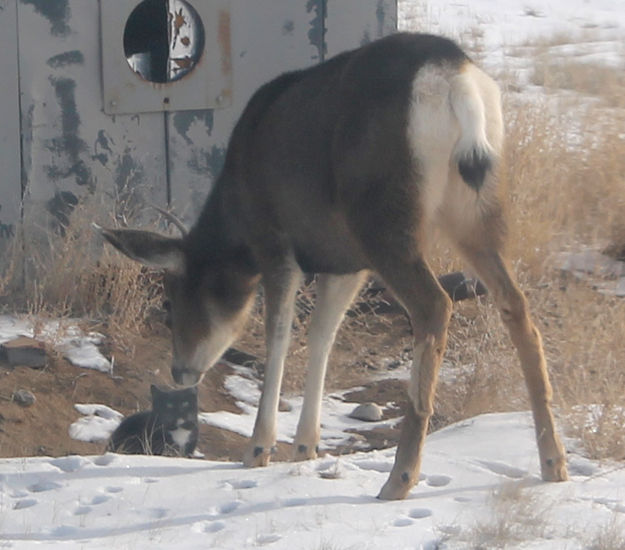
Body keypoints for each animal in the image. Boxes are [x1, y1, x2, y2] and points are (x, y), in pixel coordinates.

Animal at [98, 32, 572, 502]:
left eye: (174, 297)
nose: (179, 370)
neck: (236, 215)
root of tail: (455, 79)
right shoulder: (344, 262)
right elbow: (322, 335)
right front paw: (305, 446)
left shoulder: (276, 242)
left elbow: (278, 336)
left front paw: (259, 449)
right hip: (476, 209)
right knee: (516, 303)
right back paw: (553, 462)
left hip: (384, 217)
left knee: (434, 305)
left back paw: (399, 478)